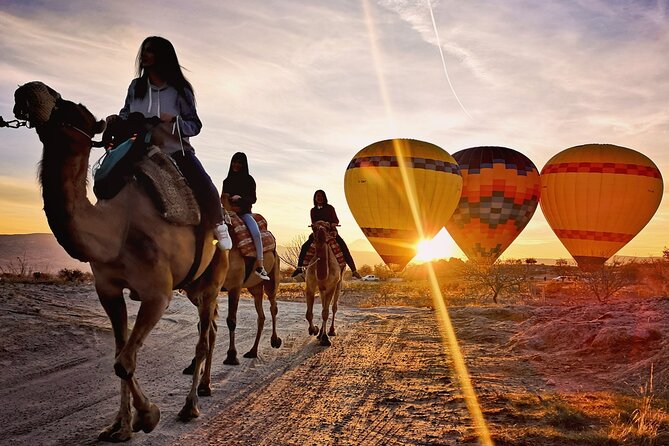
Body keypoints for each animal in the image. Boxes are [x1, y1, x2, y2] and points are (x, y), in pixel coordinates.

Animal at [12, 82, 227, 440]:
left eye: (74, 110)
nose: (29, 90)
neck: (116, 229)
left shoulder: (157, 293)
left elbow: (124, 362)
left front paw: (149, 415)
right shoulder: (108, 289)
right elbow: (120, 352)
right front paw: (120, 426)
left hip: (212, 279)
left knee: (203, 338)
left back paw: (190, 405)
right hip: (193, 286)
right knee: (207, 330)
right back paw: (204, 387)